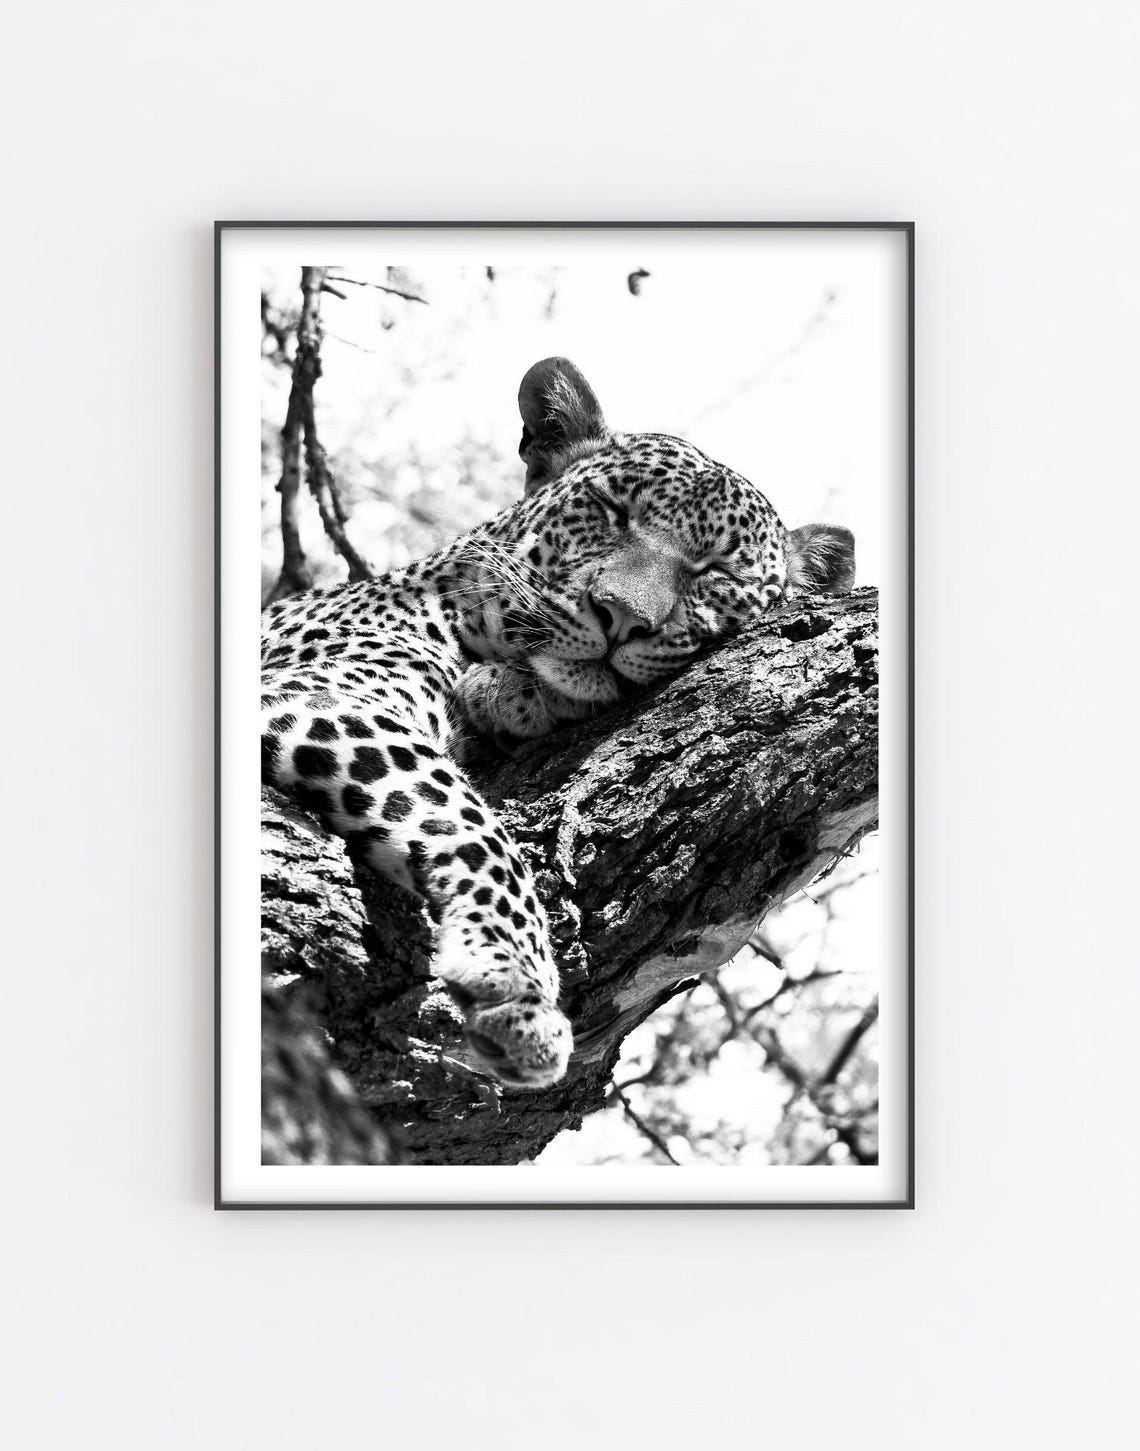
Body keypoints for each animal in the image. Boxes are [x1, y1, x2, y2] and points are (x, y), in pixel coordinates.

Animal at [261, 357, 855, 1091]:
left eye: (714, 569)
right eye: (613, 511)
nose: (622, 615)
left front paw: (507, 698)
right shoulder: (316, 689)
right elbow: (471, 822)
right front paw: (516, 983)